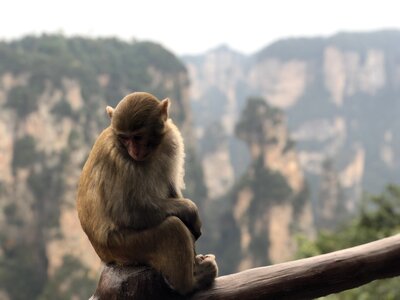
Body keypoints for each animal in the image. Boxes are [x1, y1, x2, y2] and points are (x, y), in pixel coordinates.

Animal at [76, 92, 217, 296]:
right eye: (125, 138)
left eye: (137, 137)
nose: (133, 150)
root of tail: (103, 255)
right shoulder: (121, 162)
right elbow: (129, 213)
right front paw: (191, 211)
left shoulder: (171, 140)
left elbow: (170, 187)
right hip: (123, 246)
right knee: (172, 228)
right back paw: (190, 283)